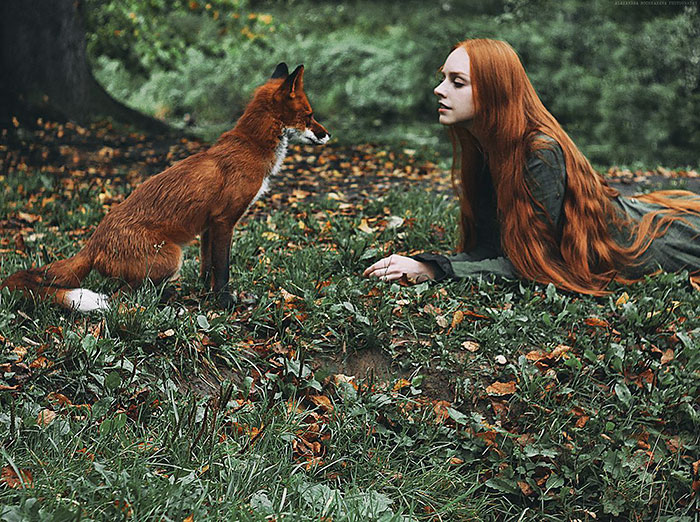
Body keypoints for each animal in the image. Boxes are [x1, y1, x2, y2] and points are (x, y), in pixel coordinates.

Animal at [1, 63, 329, 312]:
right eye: (310, 115)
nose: (328, 135)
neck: (251, 146)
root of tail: (93, 243)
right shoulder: (224, 221)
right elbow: (222, 270)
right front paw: (224, 303)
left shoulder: (209, 225)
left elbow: (207, 267)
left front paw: (205, 295)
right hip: (170, 257)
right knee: (122, 298)